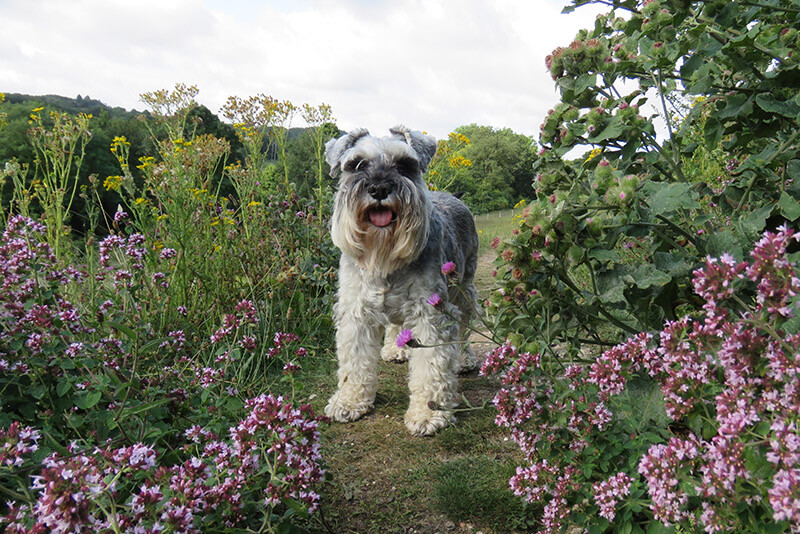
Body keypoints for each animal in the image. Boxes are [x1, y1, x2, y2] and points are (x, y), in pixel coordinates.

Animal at [322, 127, 478, 438]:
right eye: (356, 164)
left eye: (405, 165)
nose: (380, 189)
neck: (384, 256)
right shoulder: (356, 312)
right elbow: (353, 362)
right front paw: (349, 401)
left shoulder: (431, 313)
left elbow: (432, 365)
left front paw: (428, 413)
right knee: (396, 323)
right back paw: (395, 349)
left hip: (464, 288)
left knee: (466, 327)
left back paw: (465, 360)